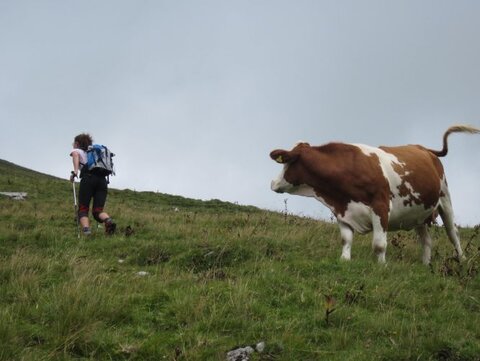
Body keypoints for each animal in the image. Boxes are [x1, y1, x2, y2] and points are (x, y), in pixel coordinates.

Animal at [272, 125, 478, 262]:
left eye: (287, 162)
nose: (273, 183)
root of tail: (424, 148)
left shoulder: (380, 206)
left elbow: (379, 244)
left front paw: (381, 267)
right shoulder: (342, 210)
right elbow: (346, 239)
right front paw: (344, 261)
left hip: (445, 197)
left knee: (452, 232)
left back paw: (462, 261)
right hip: (419, 212)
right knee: (426, 240)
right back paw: (426, 265)